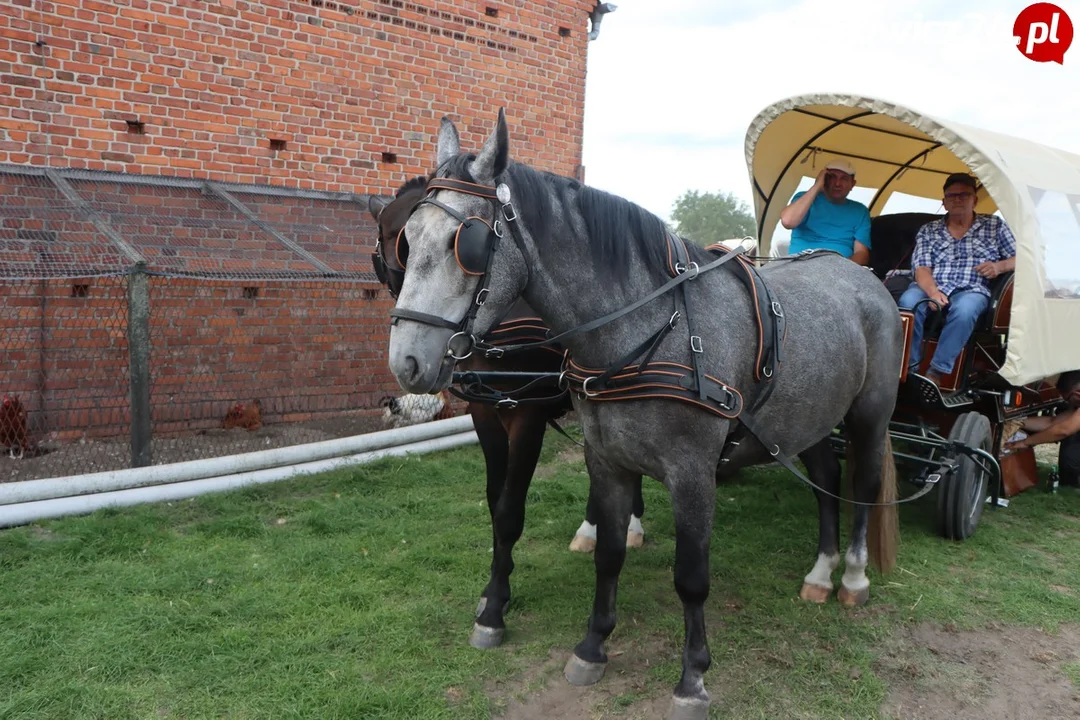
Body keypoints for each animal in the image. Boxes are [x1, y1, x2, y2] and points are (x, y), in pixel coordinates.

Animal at [367, 179, 643, 647]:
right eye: (401, 245)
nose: (411, 360)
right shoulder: (484, 412)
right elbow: (495, 502)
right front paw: (494, 585)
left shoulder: (526, 417)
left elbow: (511, 511)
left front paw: (495, 608)